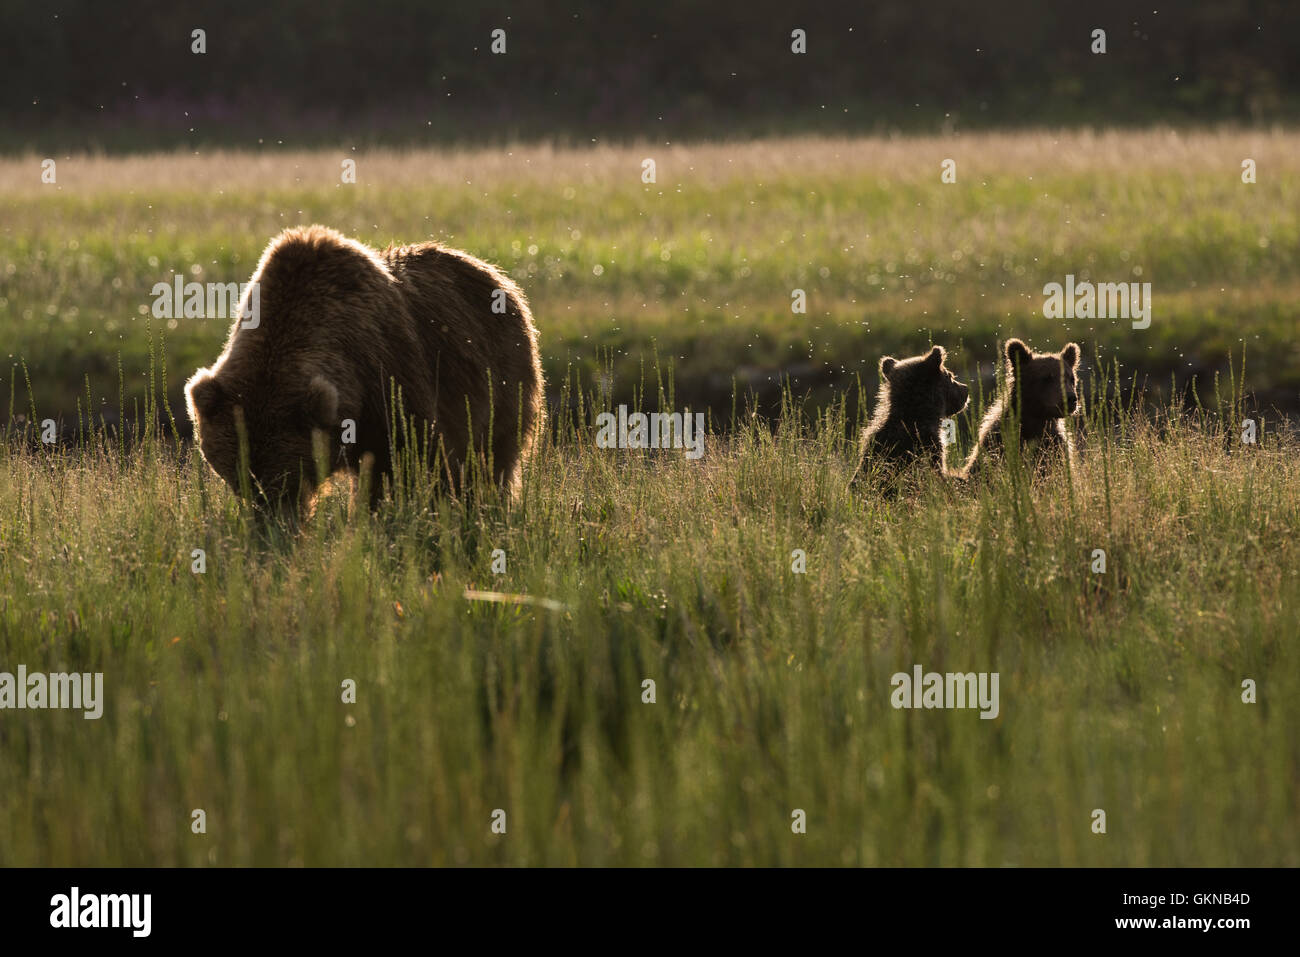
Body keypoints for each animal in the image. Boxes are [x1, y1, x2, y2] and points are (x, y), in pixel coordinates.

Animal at [184, 224, 544, 517]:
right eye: (238, 478)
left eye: (286, 477)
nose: (271, 519)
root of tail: (495, 273)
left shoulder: (390, 380)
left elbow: (416, 462)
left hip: (505, 375)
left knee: (495, 459)